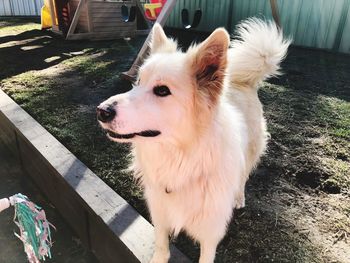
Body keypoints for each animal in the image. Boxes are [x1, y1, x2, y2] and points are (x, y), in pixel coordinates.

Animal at [98, 19, 290, 263]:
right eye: (138, 82)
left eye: (162, 90)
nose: (101, 111)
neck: (182, 160)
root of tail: (243, 81)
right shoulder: (160, 214)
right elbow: (161, 246)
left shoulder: (211, 232)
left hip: (249, 156)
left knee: (243, 178)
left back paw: (238, 198)